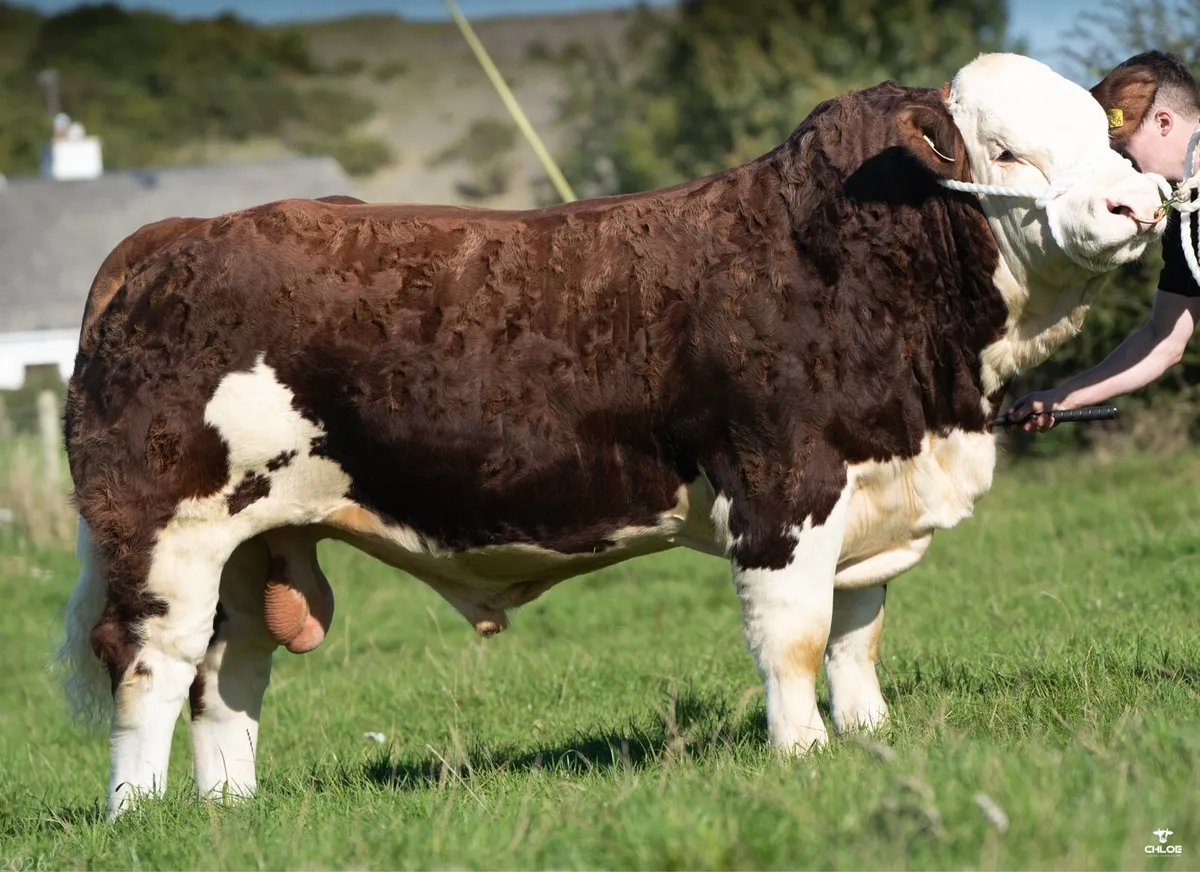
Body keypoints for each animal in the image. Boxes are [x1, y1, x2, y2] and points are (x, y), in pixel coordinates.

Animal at [60, 53, 1169, 820]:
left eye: (1106, 136)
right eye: (1008, 151)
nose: (1139, 202)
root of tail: (175, 237)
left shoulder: (871, 491)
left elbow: (858, 634)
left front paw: (869, 738)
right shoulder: (781, 491)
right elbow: (797, 639)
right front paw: (805, 757)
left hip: (256, 542)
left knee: (227, 673)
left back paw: (229, 812)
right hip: (165, 533)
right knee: (151, 663)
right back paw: (140, 818)